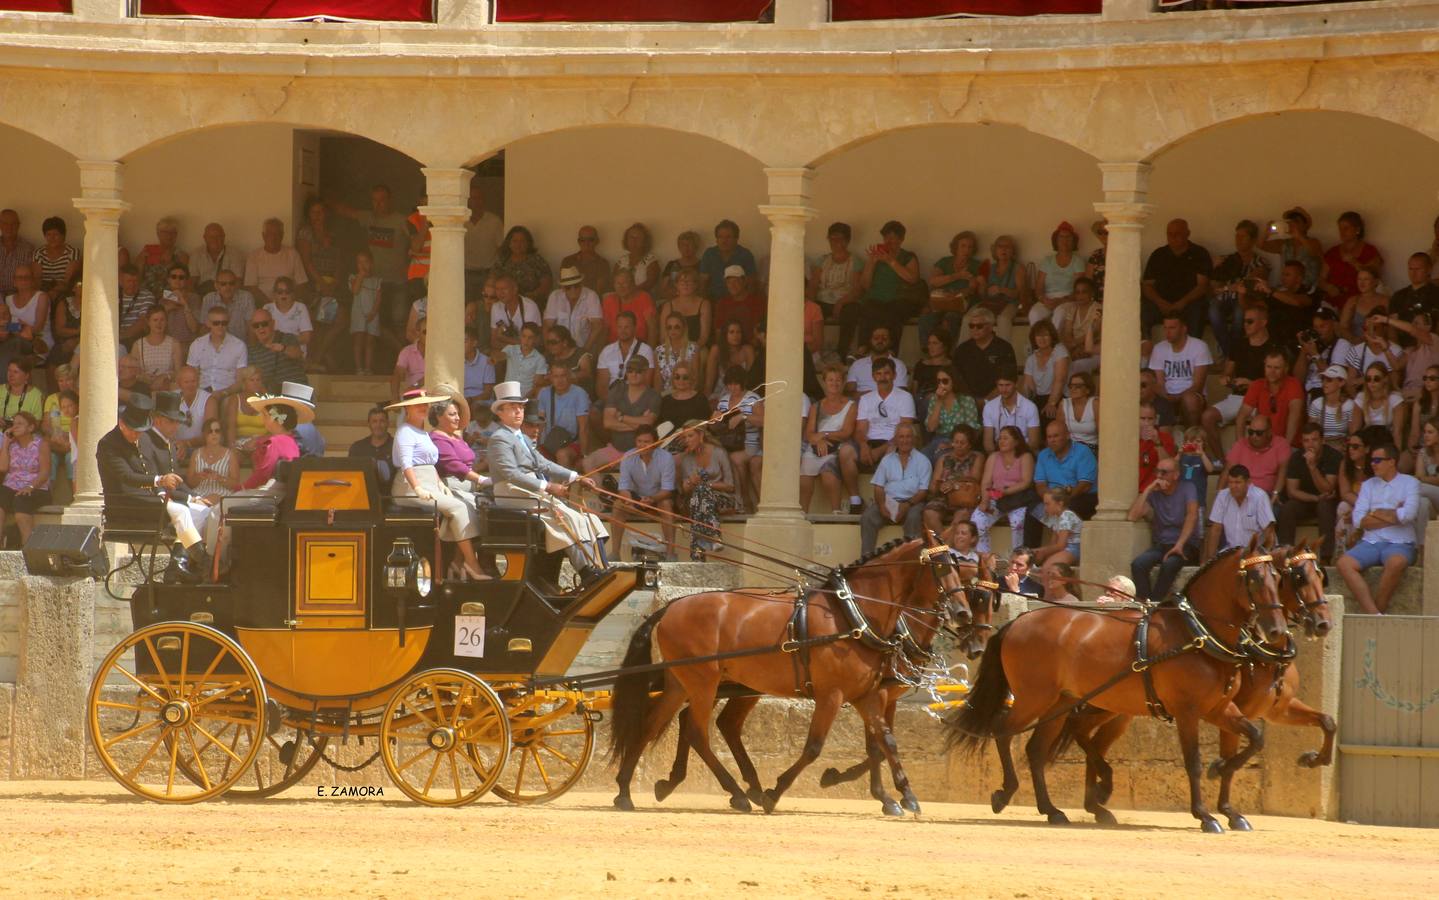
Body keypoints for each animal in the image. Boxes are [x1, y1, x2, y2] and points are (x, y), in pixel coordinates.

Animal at [601, 532, 972, 812]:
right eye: (941, 567)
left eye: (958, 567)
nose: (963, 614)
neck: (853, 614)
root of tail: (669, 607)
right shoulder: (832, 695)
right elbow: (815, 748)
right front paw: (776, 792)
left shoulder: (867, 695)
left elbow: (886, 742)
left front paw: (903, 796)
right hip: (704, 683)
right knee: (696, 732)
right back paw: (738, 792)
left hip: (685, 683)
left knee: (653, 725)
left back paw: (626, 791)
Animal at [949, 535, 1289, 829]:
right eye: (1254, 579)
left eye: (1277, 577)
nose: (1277, 631)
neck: (1196, 633)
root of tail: (1016, 622)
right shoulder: (1187, 711)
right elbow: (1192, 761)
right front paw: (1205, 815)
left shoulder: (1220, 708)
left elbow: (1254, 739)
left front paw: (1227, 795)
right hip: (1035, 698)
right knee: (1003, 730)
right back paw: (1005, 792)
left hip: (1061, 703)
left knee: (1035, 749)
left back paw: (1052, 810)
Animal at [1064, 541, 1329, 829]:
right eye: (1298, 577)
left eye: (1320, 575)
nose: (1323, 623)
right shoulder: (1225, 711)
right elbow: (1232, 754)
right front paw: (1220, 793)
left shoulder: (1276, 710)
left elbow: (1326, 722)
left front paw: (1313, 759)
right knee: (1080, 734)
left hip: (1112, 708)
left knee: (1088, 738)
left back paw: (1095, 802)